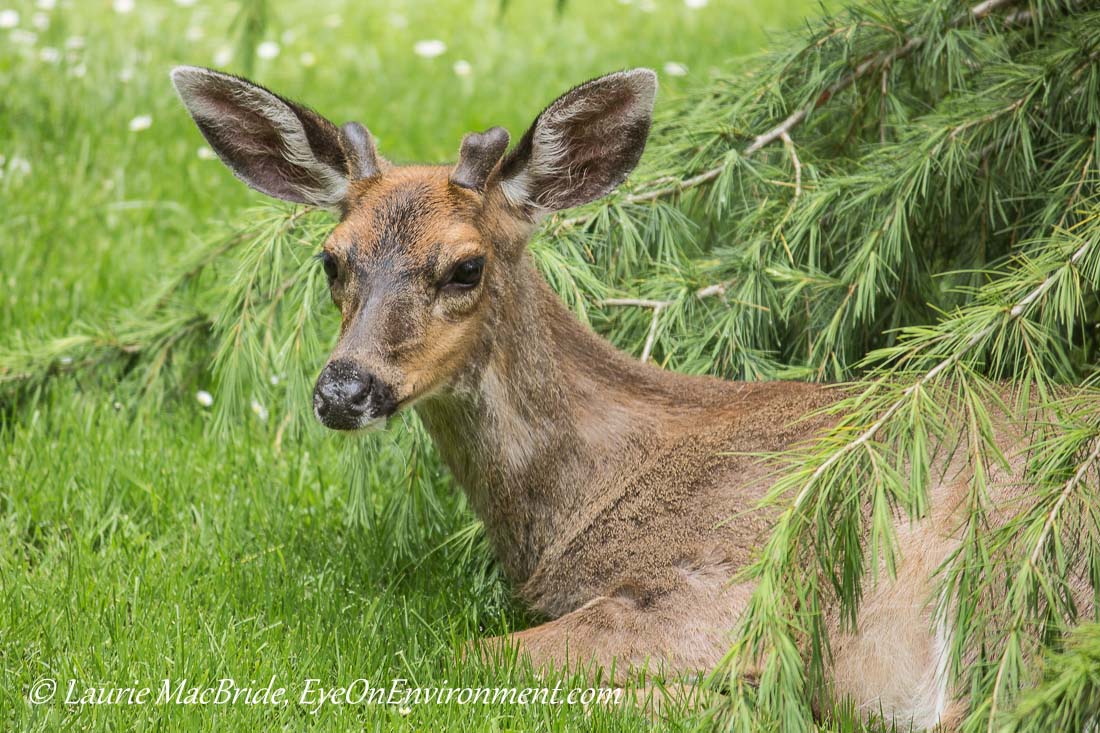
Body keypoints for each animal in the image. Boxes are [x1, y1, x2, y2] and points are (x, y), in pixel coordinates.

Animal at [169, 65, 1075, 730]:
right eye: (332, 258)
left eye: (465, 266)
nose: (343, 388)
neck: (582, 500)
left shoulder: (724, 588)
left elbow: (467, 656)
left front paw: (750, 686)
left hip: (1015, 567)